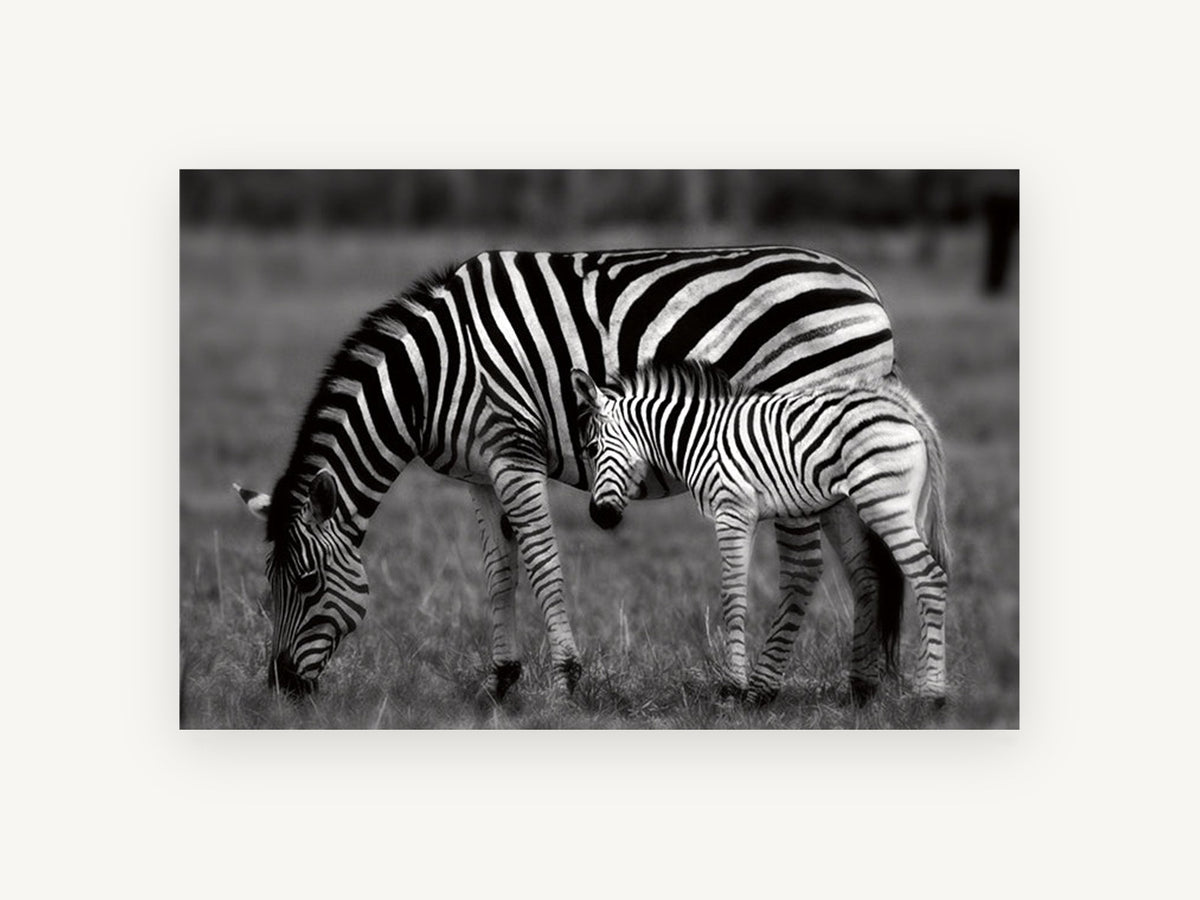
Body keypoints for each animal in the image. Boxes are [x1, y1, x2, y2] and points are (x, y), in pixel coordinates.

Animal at [234, 246, 905, 700]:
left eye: (310, 584)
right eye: (270, 584)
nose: (280, 687)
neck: (431, 377)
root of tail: (865, 287)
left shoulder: (514, 451)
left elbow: (543, 564)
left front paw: (566, 680)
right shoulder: (479, 473)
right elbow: (499, 571)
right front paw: (501, 682)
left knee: (806, 565)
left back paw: (761, 691)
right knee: (863, 564)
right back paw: (862, 689)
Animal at [571, 362, 951, 703]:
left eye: (591, 449)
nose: (599, 516)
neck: (698, 439)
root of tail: (902, 407)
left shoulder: (731, 511)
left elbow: (732, 597)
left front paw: (733, 687)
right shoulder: (746, 515)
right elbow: (738, 593)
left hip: (884, 505)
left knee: (929, 578)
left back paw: (931, 695)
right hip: (892, 508)